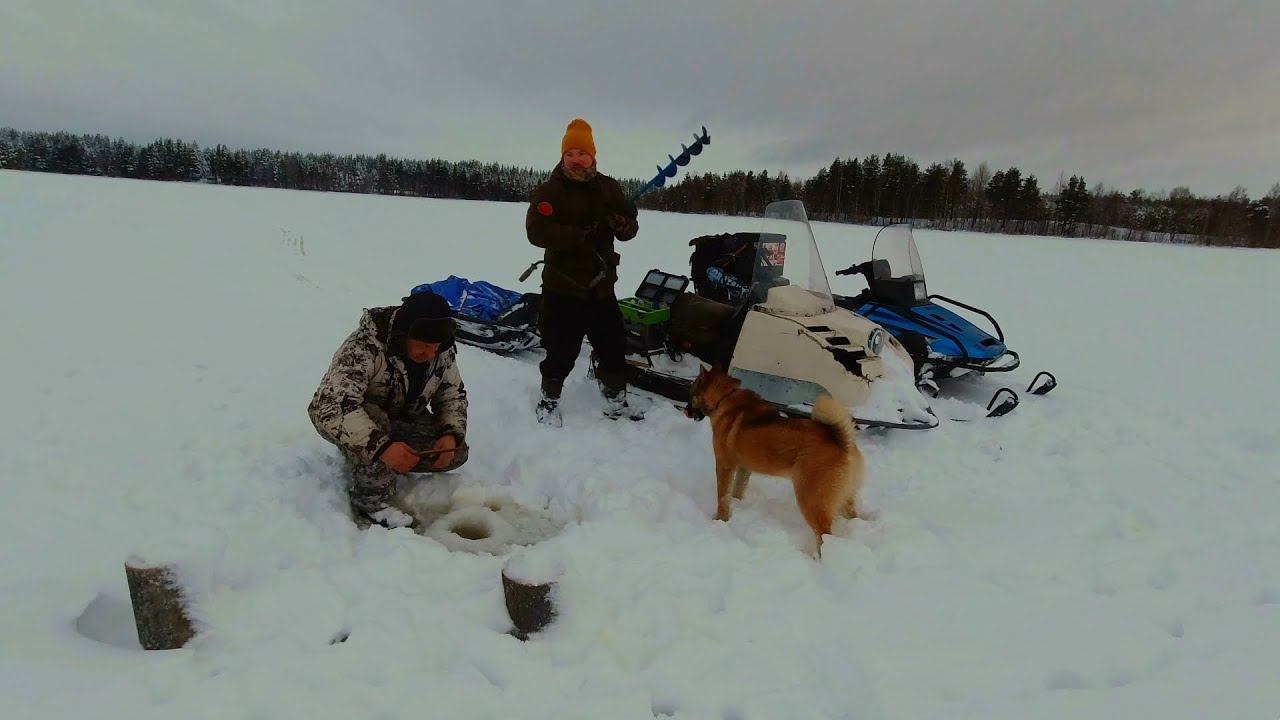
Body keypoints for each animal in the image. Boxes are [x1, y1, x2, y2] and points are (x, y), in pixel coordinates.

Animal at [686, 366, 862, 557]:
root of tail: (842, 441)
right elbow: (737, 491)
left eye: (691, 393)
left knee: (823, 534)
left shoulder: (724, 466)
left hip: (812, 501)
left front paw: (720, 520)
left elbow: (723, 497)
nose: (685, 411)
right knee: (854, 517)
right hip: (843, 499)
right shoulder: (744, 469)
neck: (724, 397)